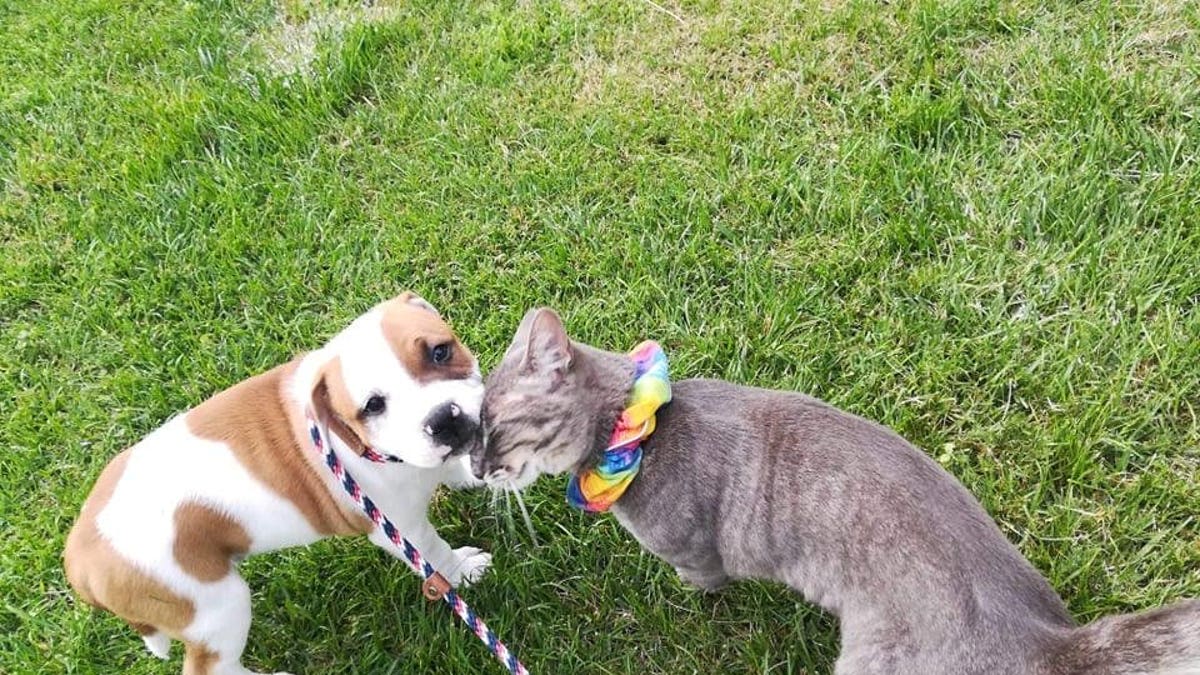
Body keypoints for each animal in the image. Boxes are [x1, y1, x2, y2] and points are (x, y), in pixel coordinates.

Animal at [63, 293, 487, 672]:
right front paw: (463, 569)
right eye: (373, 406)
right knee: (210, 666)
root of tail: (80, 559)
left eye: (440, 352)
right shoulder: (402, 528)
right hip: (215, 607)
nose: (442, 419)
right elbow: (434, 554)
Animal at [465, 309, 1200, 672]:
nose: (473, 465)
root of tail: (1049, 638)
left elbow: (700, 581)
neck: (635, 434)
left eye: (489, 427)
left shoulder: (694, 550)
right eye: (468, 427)